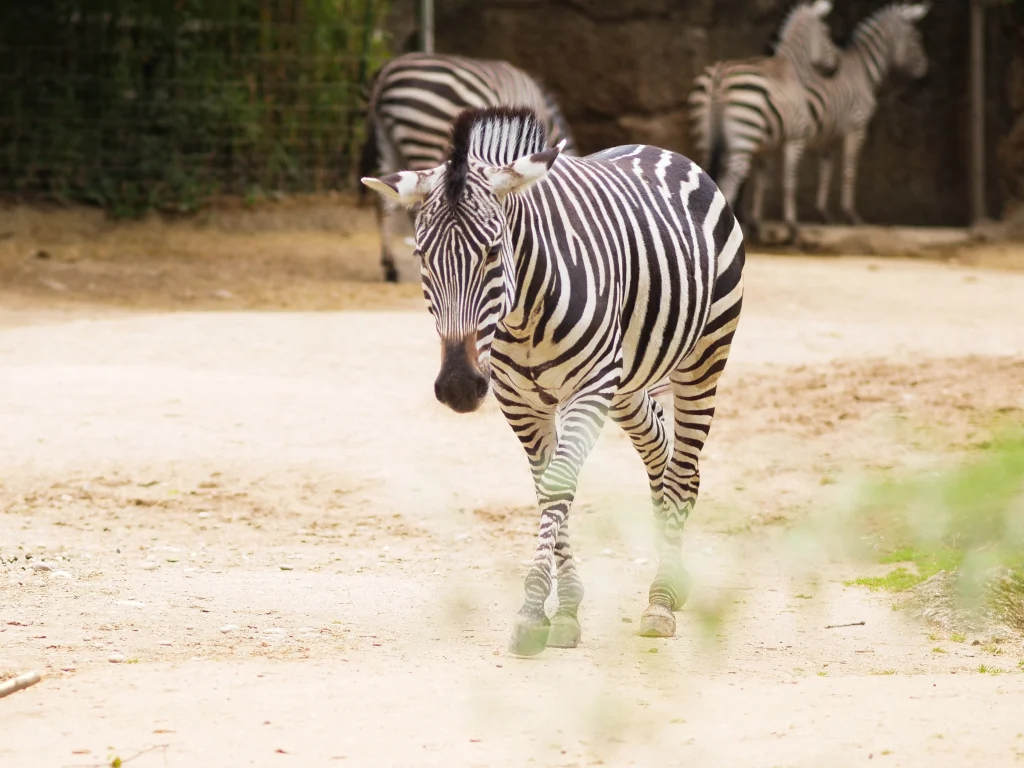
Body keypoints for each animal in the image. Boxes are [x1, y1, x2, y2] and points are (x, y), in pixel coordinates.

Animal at [361, 106, 745, 656]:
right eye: (421, 258)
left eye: (493, 252)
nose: (457, 385)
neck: (522, 315)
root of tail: (660, 150)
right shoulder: (520, 402)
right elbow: (547, 491)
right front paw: (563, 611)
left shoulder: (589, 388)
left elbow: (561, 484)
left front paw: (531, 610)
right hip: (628, 387)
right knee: (663, 456)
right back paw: (672, 574)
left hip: (703, 358)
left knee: (684, 466)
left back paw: (662, 598)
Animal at [687, 0, 839, 244]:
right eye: (826, 32)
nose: (837, 65)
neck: (792, 69)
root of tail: (720, 75)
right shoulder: (795, 137)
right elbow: (789, 180)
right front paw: (792, 227)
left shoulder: (764, 147)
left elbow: (762, 182)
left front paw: (756, 224)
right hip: (744, 134)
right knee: (729, 182)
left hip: (708, 137)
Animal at [802, 3, 930, 224]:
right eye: (916, 37)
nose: (925, 69)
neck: (863, 72)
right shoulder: (857, 126)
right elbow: (850, 168)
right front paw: (850, 214)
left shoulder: (831, 135)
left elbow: (826, 170)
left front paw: (823, 213)